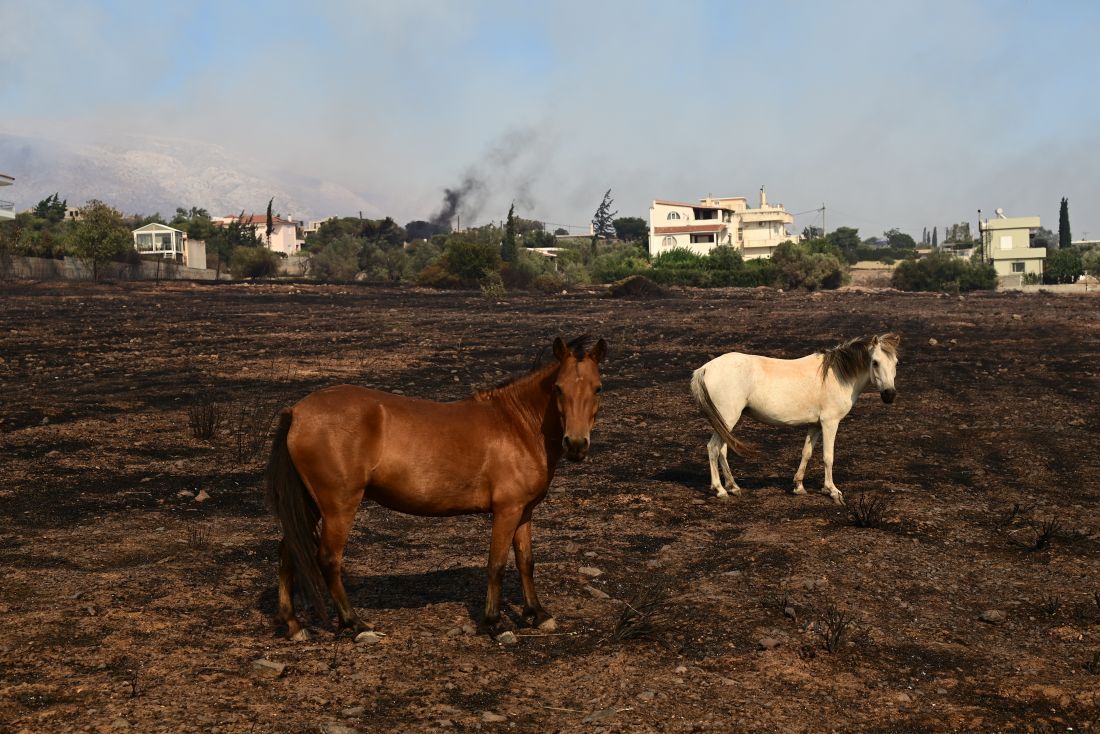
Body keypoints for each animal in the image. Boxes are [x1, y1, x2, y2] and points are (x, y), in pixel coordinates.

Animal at [267, 336, 611, 638]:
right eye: (558, 388)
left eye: (598, 388)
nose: (576, 444)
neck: (517, 425)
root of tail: (297, 413)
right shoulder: (506, 510)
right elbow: (497, 564)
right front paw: (494, 623)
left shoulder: (524, 511)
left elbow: (526, 561)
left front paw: (537, 615)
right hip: (339, 506)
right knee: (328, 559)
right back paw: (356, 625)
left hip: (312, 504)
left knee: (289, 550)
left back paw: (294, 626)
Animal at [686, 332, 902, 506]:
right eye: (875, 362)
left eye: (896, 363)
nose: (889, 395)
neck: (837, 375)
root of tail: (705, 368)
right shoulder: (829, 423)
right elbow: (828, 457)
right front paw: (832, 491)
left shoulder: (815, 425)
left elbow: (806, 452)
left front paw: (798, 486)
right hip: (727, 418)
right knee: (713, 448)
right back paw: (720, 490)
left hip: (725, 422)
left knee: (722, 449)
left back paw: (733, 486)